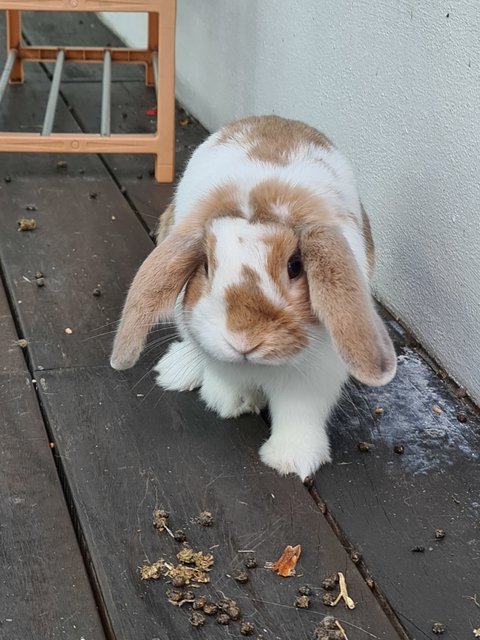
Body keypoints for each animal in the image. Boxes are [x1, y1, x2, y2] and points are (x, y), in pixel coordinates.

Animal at [110, 115, 396, 480]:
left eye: (295, 266)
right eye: (206, 266)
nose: (244, 339)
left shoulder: (314, 376)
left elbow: (299, 414)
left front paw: (292, 460)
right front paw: (231, 403)